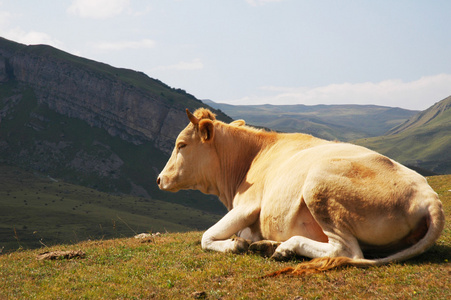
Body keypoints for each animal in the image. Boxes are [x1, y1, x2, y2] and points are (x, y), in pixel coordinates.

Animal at [157, 108, 446, 276]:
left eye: (181, 145)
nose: (159, 179)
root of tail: (430, 197)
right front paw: (249, 240)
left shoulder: (248, 205)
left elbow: (206, 237)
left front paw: (235, 244)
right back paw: (269, 246)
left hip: (318, 186)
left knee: (345, 251)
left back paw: (285, 247)